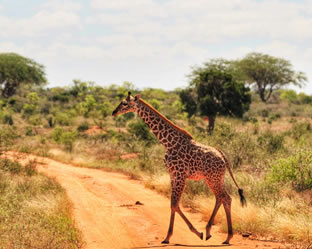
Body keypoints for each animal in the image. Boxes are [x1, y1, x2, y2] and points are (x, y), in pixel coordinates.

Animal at [112, 92, 246, 244]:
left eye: (125, 104)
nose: (113, 112)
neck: (168, 143)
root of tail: (223, 157)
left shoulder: (180, 175)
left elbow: (175, 204)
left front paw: (193, 233)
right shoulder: (172, 174)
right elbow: (173, 204)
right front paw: (168, 237)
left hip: (213, 178)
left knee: (225, 198)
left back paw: (227, 237)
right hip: (216, 178)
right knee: (221, 198)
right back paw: (209, 231)